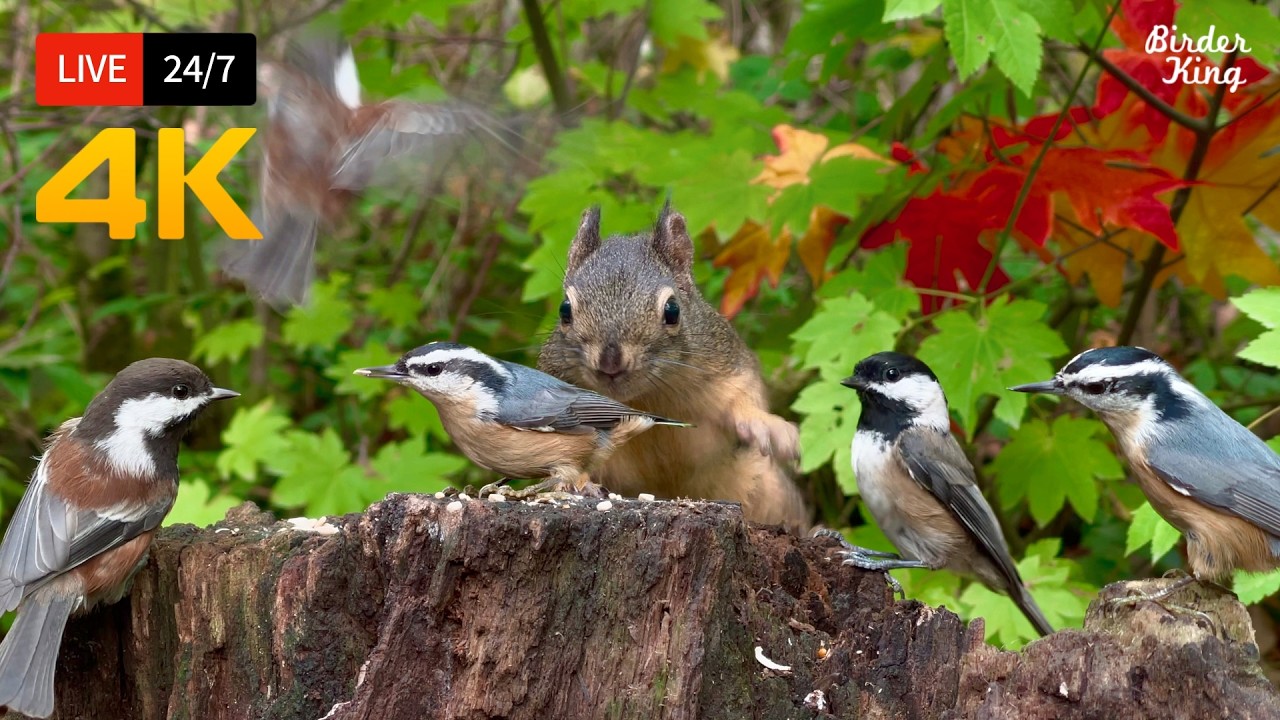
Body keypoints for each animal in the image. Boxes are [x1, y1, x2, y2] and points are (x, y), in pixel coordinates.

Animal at [538, 203, 810, 532]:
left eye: (672, 310)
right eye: (564, 310)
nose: (610, 363)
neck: (645, 399)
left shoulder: (728, 363)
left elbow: (743, 397)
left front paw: (768, 426)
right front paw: (577, 480)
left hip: (770, 487)